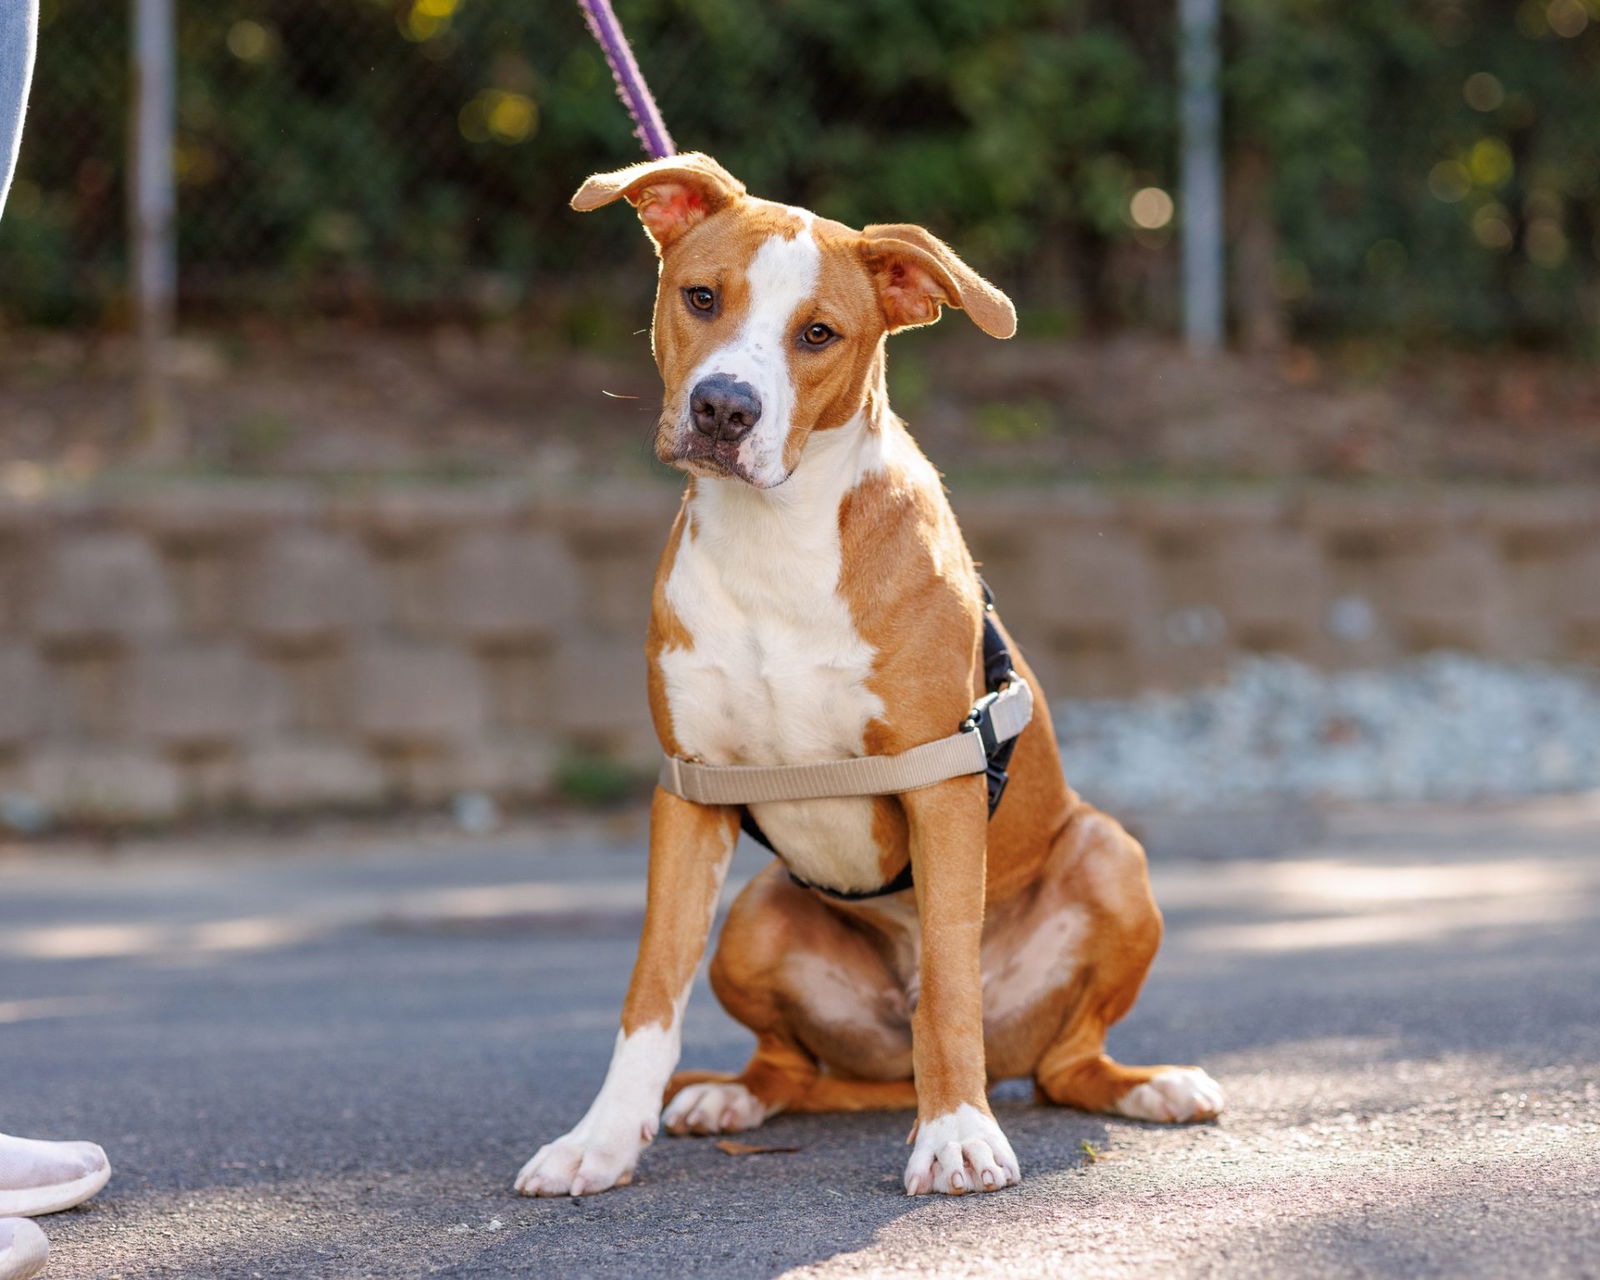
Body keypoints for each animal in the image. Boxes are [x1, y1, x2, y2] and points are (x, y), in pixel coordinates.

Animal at [515, 152, 1222, 1203]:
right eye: (701, 297)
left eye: (819, 334)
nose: (723, 408)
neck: (777, 542)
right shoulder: (688, 796)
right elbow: (650, 989)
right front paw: (599, 1140)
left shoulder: (942, 782)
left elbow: (951, 986)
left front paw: (958, 1135)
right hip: (757, 917)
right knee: (793, 1067)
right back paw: (729, 1097)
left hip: (1110, 855)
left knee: (1059, 1060)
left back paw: (1149, 1086)